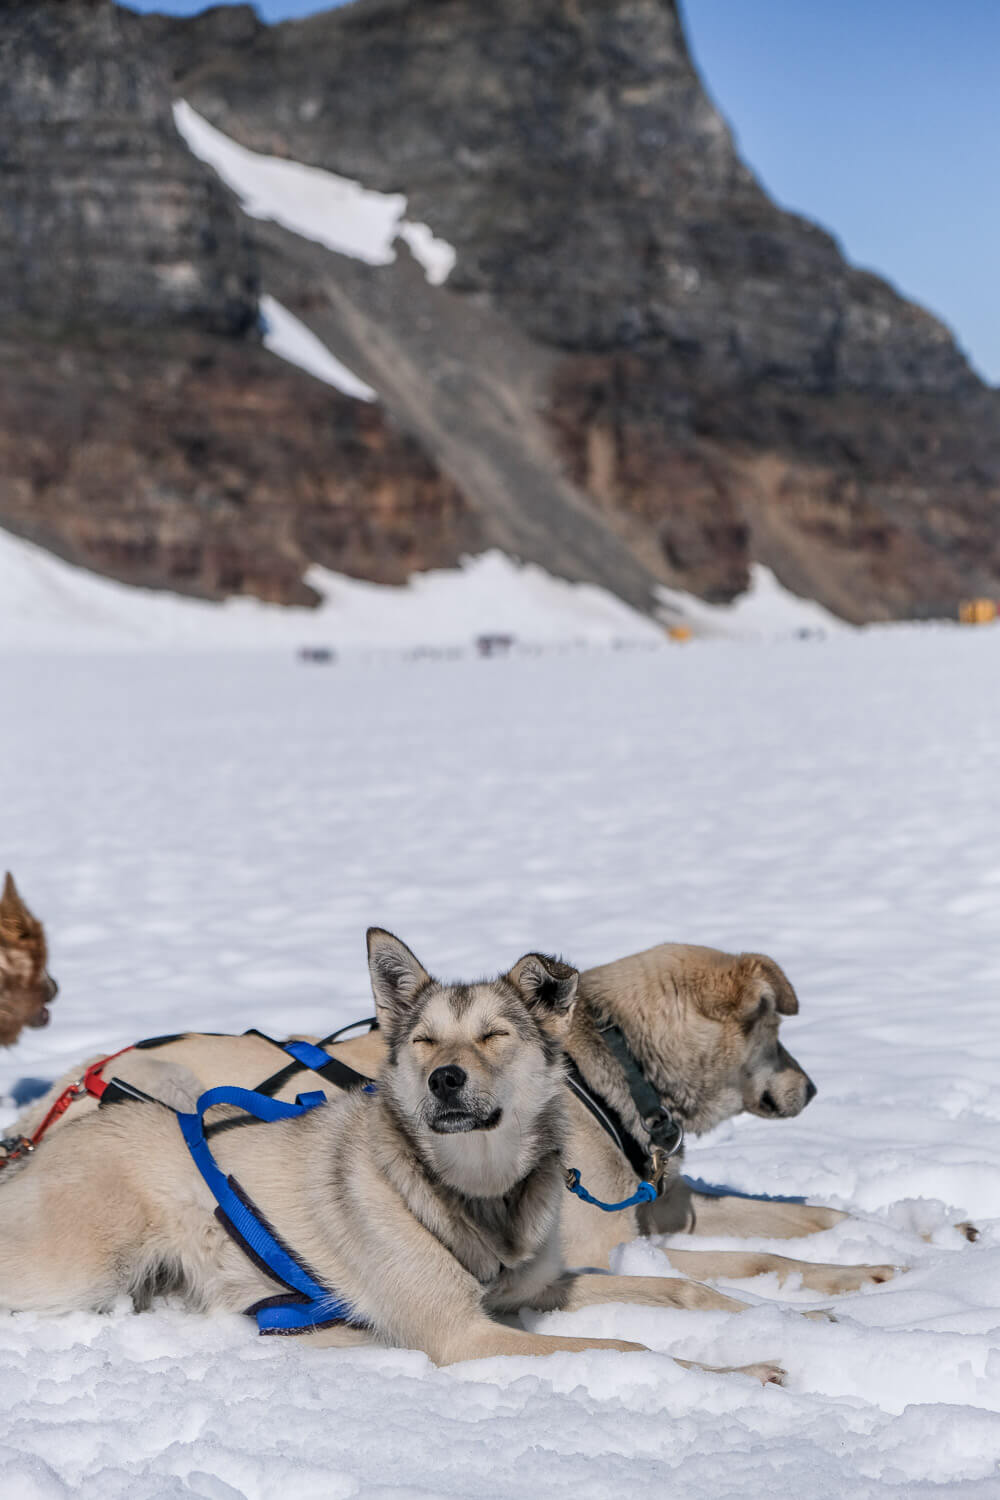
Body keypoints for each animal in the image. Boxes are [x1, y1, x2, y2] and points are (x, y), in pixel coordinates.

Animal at [0, 936, 797, 1380]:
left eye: (496, 1035)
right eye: (423, 1041)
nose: (446, 1079)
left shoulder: (540, 1287)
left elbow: (687, 1290)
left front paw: (798, 1320)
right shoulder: (468, 1334)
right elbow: (631, 1350)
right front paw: (741, 1371)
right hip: (80, 1273)